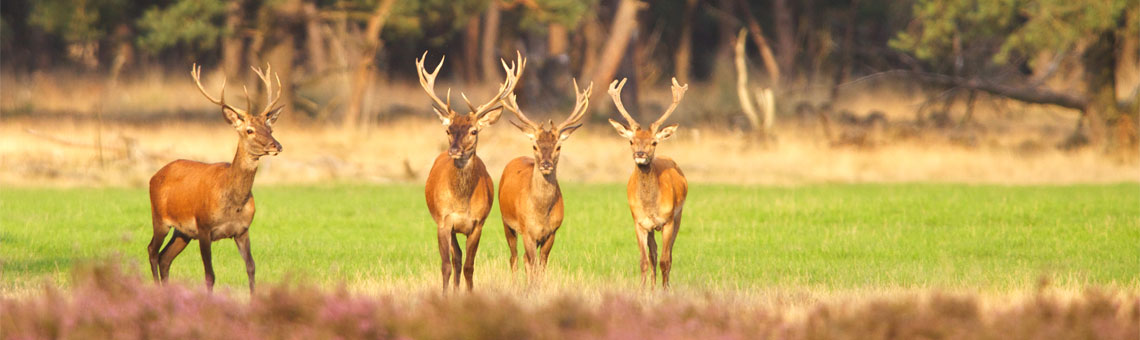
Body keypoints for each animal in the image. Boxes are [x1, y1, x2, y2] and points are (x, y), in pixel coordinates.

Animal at [148, 64, 283, 292]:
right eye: (249, 130)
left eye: (270, 127)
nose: (277, 145)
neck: (233, 204)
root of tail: (154, 176)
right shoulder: (204, 228)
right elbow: (210, 275)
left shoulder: (242, 230)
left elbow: (251, 268)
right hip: (160, 218)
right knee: (152, 251)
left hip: (183, 232)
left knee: (165, 257)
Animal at [419, 51, 524, 290]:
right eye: (448, 130)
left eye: (474, 131)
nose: (454, 150)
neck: (461, 203)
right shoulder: (443, 221)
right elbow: (446, 266)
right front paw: (446, 294)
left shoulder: (477, 224)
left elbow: (469, 266)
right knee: (455, 258)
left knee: (460, 259)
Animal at [497, 80, 592, 281]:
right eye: (535, 145)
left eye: (558, 146)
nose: (546, 164)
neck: (540, 212)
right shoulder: (527, 231)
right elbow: (532, 263)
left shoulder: (552, 232)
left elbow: (541, 265)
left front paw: (537, 285)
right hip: (506, 221)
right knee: (514, 257)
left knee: (524, 259)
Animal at [606, 77, 684, 289]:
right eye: (631, 141)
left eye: (654, 142)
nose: (640, 154)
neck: (650, 206)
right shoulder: (639, 222)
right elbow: (644, 260)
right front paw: (642, 290)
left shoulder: (667, 221)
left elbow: (666, 260)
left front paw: (665, 290)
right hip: (651, 228)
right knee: (653, 254)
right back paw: (652, 286)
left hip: (679, 216)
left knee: (668, 255)